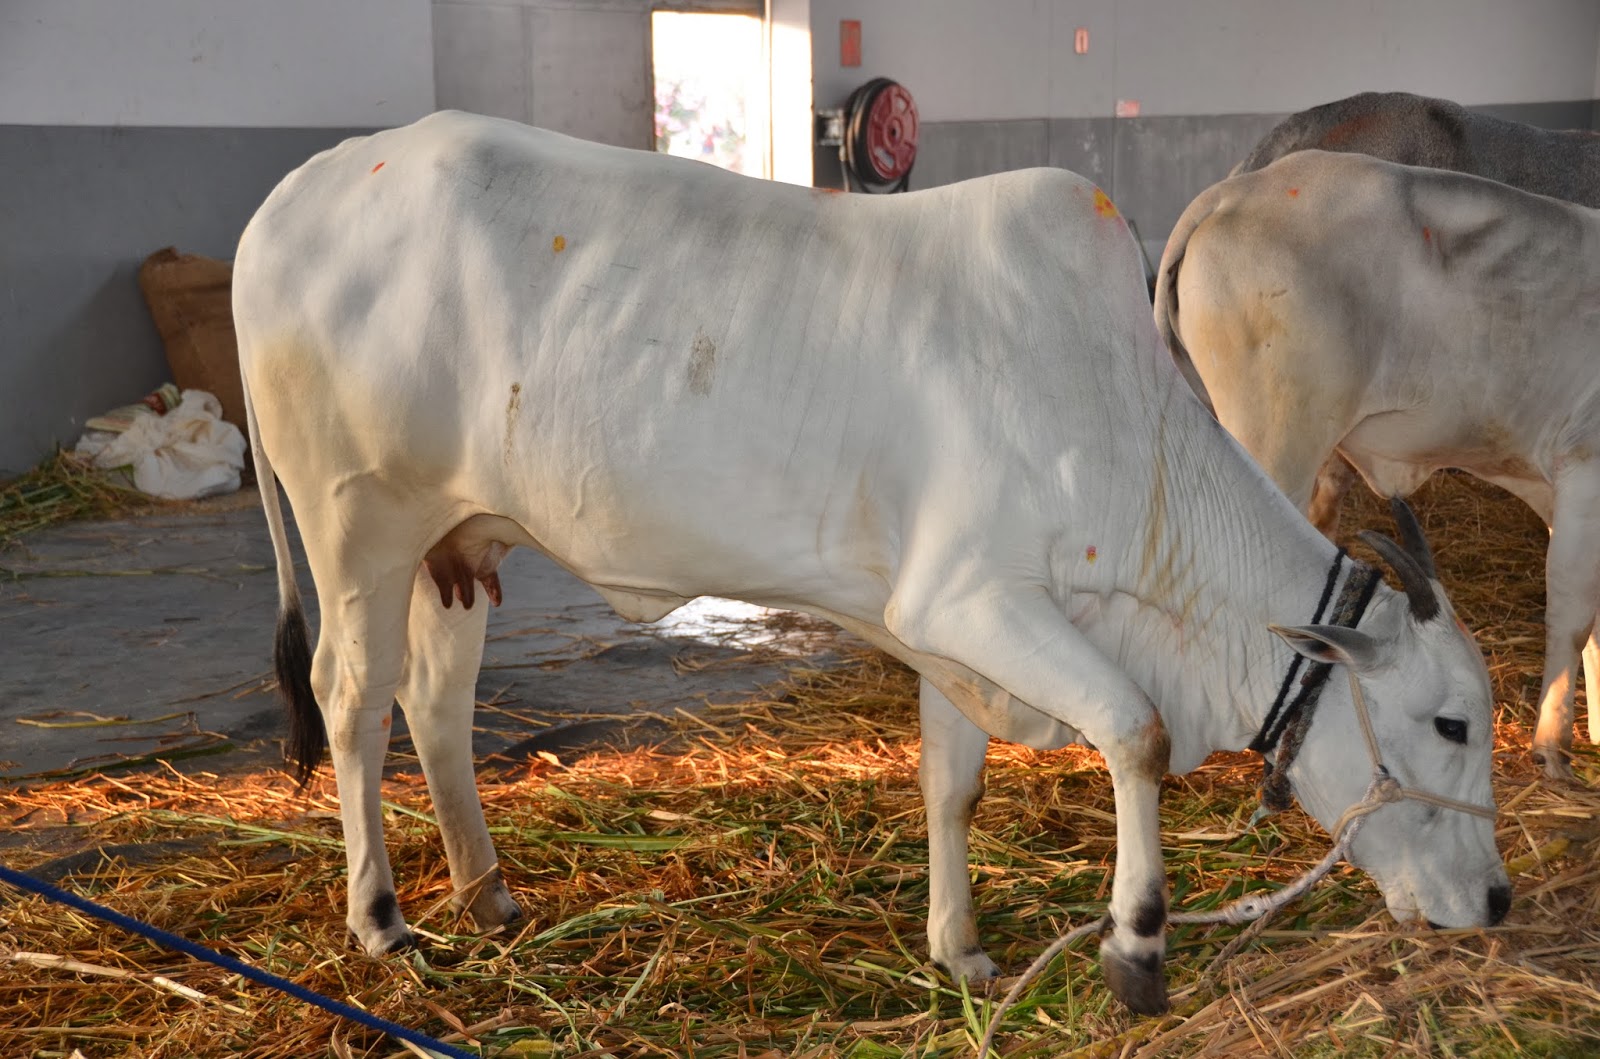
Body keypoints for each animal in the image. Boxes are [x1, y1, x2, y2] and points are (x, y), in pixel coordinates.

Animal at [234, 112, 1507, 1015]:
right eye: (1448, 723)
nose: (1495, 902)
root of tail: (295, 195)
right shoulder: (976, 598)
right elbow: (1134, 734)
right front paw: (1137, 944)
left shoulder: (950, 632)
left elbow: (954, 784)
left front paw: (960, 950)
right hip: (358, 524)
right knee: (353, 700)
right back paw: (382, 919)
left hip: (455, 541)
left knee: (435, 703)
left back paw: (487, 891)